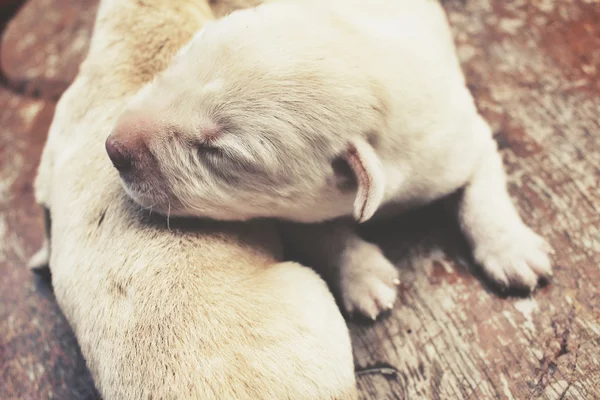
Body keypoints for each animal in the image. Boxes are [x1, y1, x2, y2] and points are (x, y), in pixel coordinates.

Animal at [106, 0, 552, 318]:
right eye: (175, 64)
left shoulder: (457, 138)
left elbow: (483, 191)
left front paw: (513, 252)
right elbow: (324, 233)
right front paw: (365, 276)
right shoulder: (291, 209)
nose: (113, 148)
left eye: (217, 152)